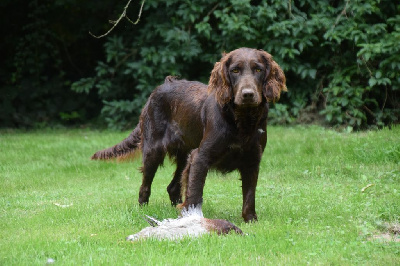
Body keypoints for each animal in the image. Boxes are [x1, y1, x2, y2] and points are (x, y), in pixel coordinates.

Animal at [92, 48, 286, 222]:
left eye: (258, 70)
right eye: (235, 70)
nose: (248, 94)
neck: (242, 120)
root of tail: (160, 87)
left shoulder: (252, 160)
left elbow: (249, 194)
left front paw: (250, 219)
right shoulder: (200, 157)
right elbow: (195, 192)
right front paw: (193, 219)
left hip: (184, 154)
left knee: (173, 187)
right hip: (153, 150)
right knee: (145, 186)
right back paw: (143, 209)